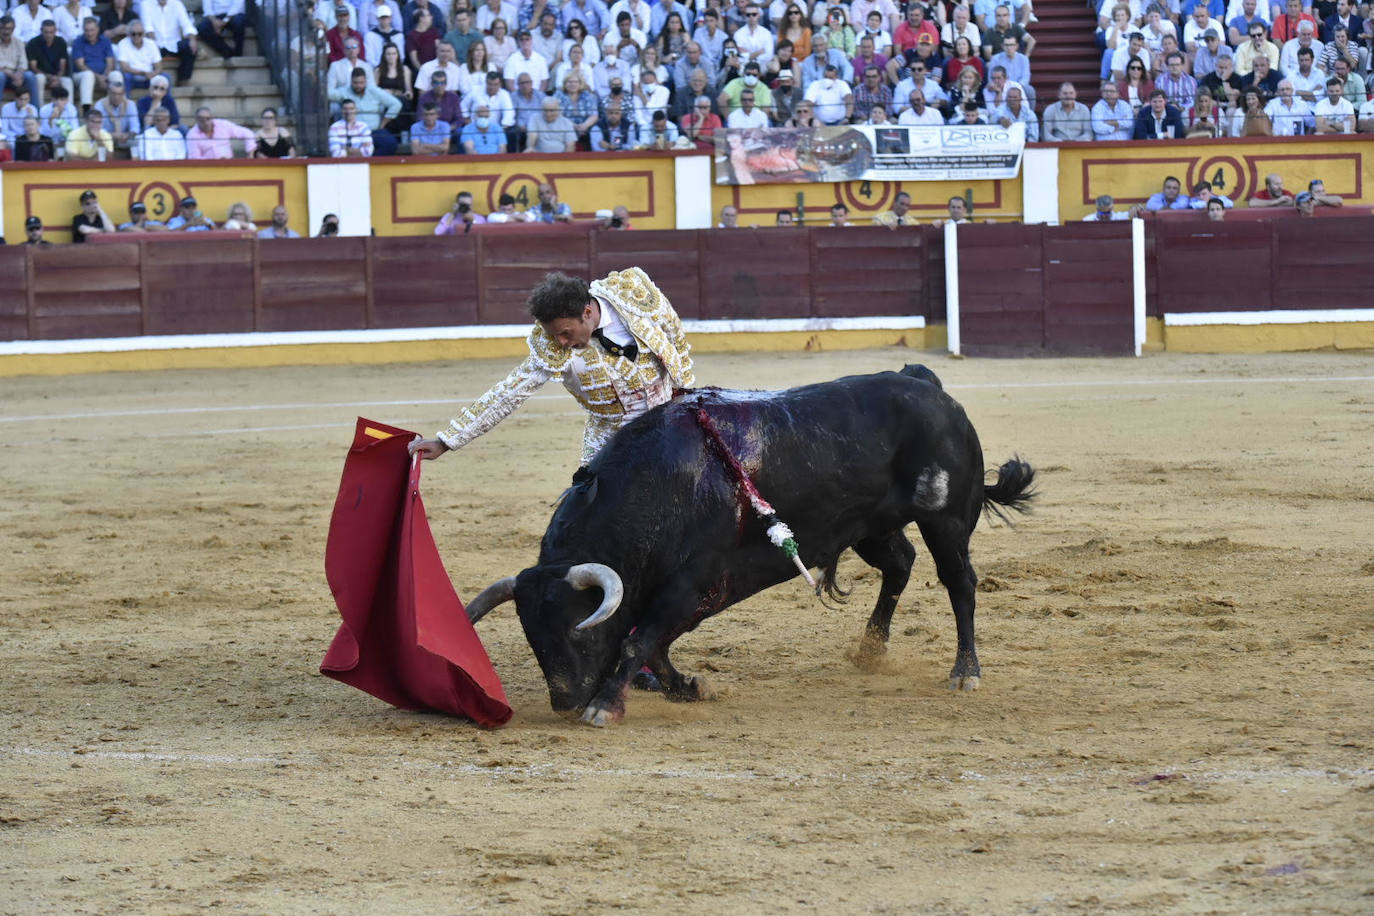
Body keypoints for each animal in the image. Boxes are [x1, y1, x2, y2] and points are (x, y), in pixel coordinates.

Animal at [461, 362, 1033, 725]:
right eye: (533, 636)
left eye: (577, 633)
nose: (565, 701)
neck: (657, 487)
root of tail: (925, 383)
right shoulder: (683, 594)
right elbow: (653, 643)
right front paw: (690, 688)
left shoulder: (692, 584)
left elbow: (638, 641)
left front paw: (606, 706)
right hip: (869, 526)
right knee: (900, 564)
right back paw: (870, 650)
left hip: (947, 520)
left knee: (959, 583)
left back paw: (965, 672)